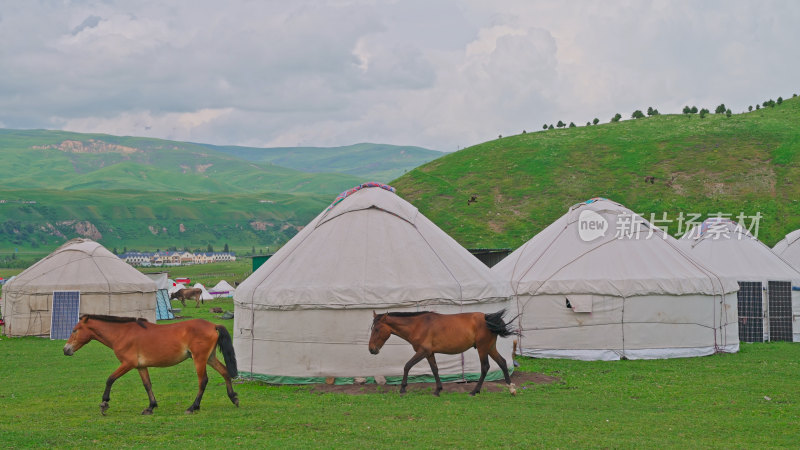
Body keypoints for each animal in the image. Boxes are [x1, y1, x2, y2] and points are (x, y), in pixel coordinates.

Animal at [63, 312, 239, 414]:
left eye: (74, 330)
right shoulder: (141, 366)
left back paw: (193, 407)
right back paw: (233, 398)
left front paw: (104, 403)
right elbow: (147, 385)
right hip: (209, 358)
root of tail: (213, 325)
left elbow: (110, 379)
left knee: (203, 381)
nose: (66, 350)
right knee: (225, 372)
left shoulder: (128, 364)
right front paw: (151, 407)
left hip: (199, 359)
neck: (122, 333)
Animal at [370, 310, 520, 398]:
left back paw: (474, 391)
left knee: (485, 367)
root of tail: (487, 317)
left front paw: (402, 388)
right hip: (490, 348)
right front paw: (438, 390)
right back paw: (511, 389)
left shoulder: (423, 351)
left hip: (482, 348)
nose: (371, 349)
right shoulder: (429, 353)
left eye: (377, 329)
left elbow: (407, 366)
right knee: (502, 362)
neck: (418, 325)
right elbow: (435, 370)